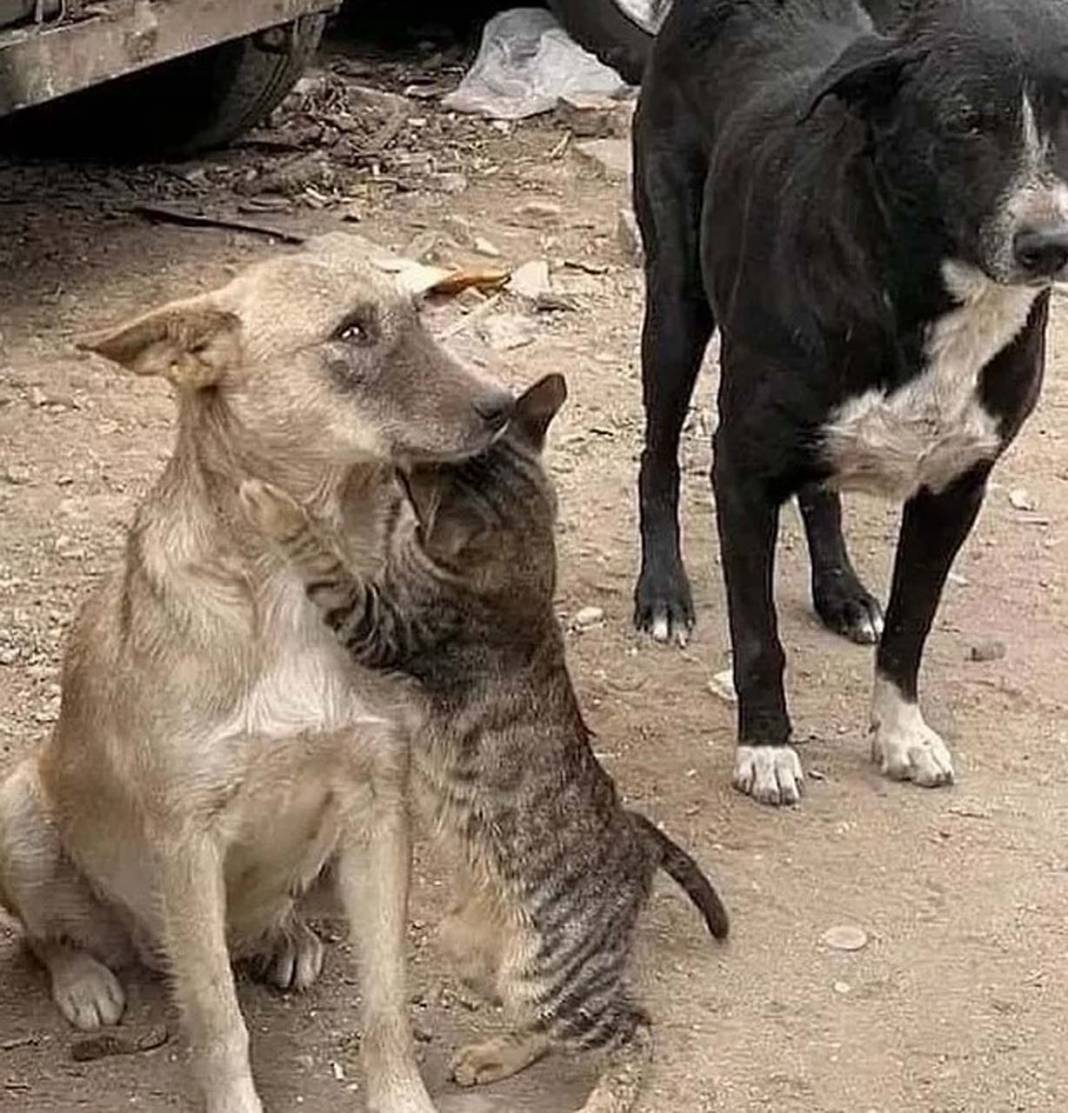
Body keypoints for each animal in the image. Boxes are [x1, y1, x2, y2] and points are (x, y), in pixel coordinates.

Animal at [0, 237, 513, 1113]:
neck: (291, 589)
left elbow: (386, 1001)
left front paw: (399, 1094)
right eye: (350, 332)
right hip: (20, 815)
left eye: (419, 315)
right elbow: (217, 1018)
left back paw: (284, 935)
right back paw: (85, 979)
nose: (503, 403)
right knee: (47, 936)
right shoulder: (187, 841)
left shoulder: (379, 808)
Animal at [240, 376, 725, 1113]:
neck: (527, 566)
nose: (402, 457)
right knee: (548, 1032)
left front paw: (279, 506)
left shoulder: (384, 626)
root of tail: (638, 836)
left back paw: (603, 1097)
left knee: (636, 1030)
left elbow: (328, 563)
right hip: (475, 953)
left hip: (551, 976)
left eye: (422, 474)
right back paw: (493, 1053)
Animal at [631, 0, 1068, 801]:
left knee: (820, 491)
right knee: (658, 458)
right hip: (675, 301)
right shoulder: (740, 473)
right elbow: (757, 636)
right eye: (967, 122)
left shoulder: (955, 490)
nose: (1049, 244)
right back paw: (663, 593)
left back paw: (840, 589)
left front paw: (899, 732)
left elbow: (910, 628)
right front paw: (766, 746)